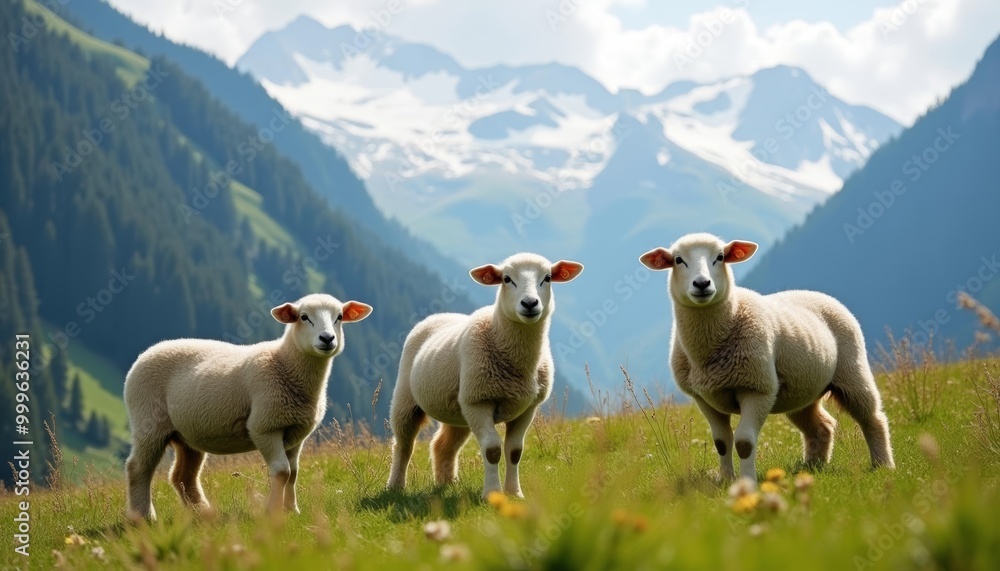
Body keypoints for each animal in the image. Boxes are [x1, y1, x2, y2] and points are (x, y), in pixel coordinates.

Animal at [123, 293, 372, 521]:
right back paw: (143, 517)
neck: (284, 363)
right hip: (149, 423)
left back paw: (203, 513)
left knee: (183, 476)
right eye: (304, 317)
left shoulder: (296, 432)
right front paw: (273, 512)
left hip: (186, 434)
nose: (327, 338)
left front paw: (292, 510)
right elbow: (282, 471)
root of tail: (145, 354)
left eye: (339, 317)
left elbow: (293, 473)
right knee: (138, 468)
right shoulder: (264, 427)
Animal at [386, 253, 584, 499]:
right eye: (507, 279)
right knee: (403, 444)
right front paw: (492, 494)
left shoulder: (526, 408)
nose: (530, 303)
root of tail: (439, 315)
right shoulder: (479, 402)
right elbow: (492, 450)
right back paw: (395, 486)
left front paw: (515, 493)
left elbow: (514, 451)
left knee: (443, 446)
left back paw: (446, 483)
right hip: (407, 399)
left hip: (458, 410)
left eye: (547, 278)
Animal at [639, 233, 894, 481]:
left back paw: (883, 465)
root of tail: (818, 294)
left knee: (873, 418)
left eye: (720, 257)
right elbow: (722, 442)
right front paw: (726, 480)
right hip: (802, 390)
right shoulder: (704, 398)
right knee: (821, 427)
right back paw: (813, 466)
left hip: (852, 371)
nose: (702, 284)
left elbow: (744, 442)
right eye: (678, 260)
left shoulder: (758, 389)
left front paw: (748, 483)